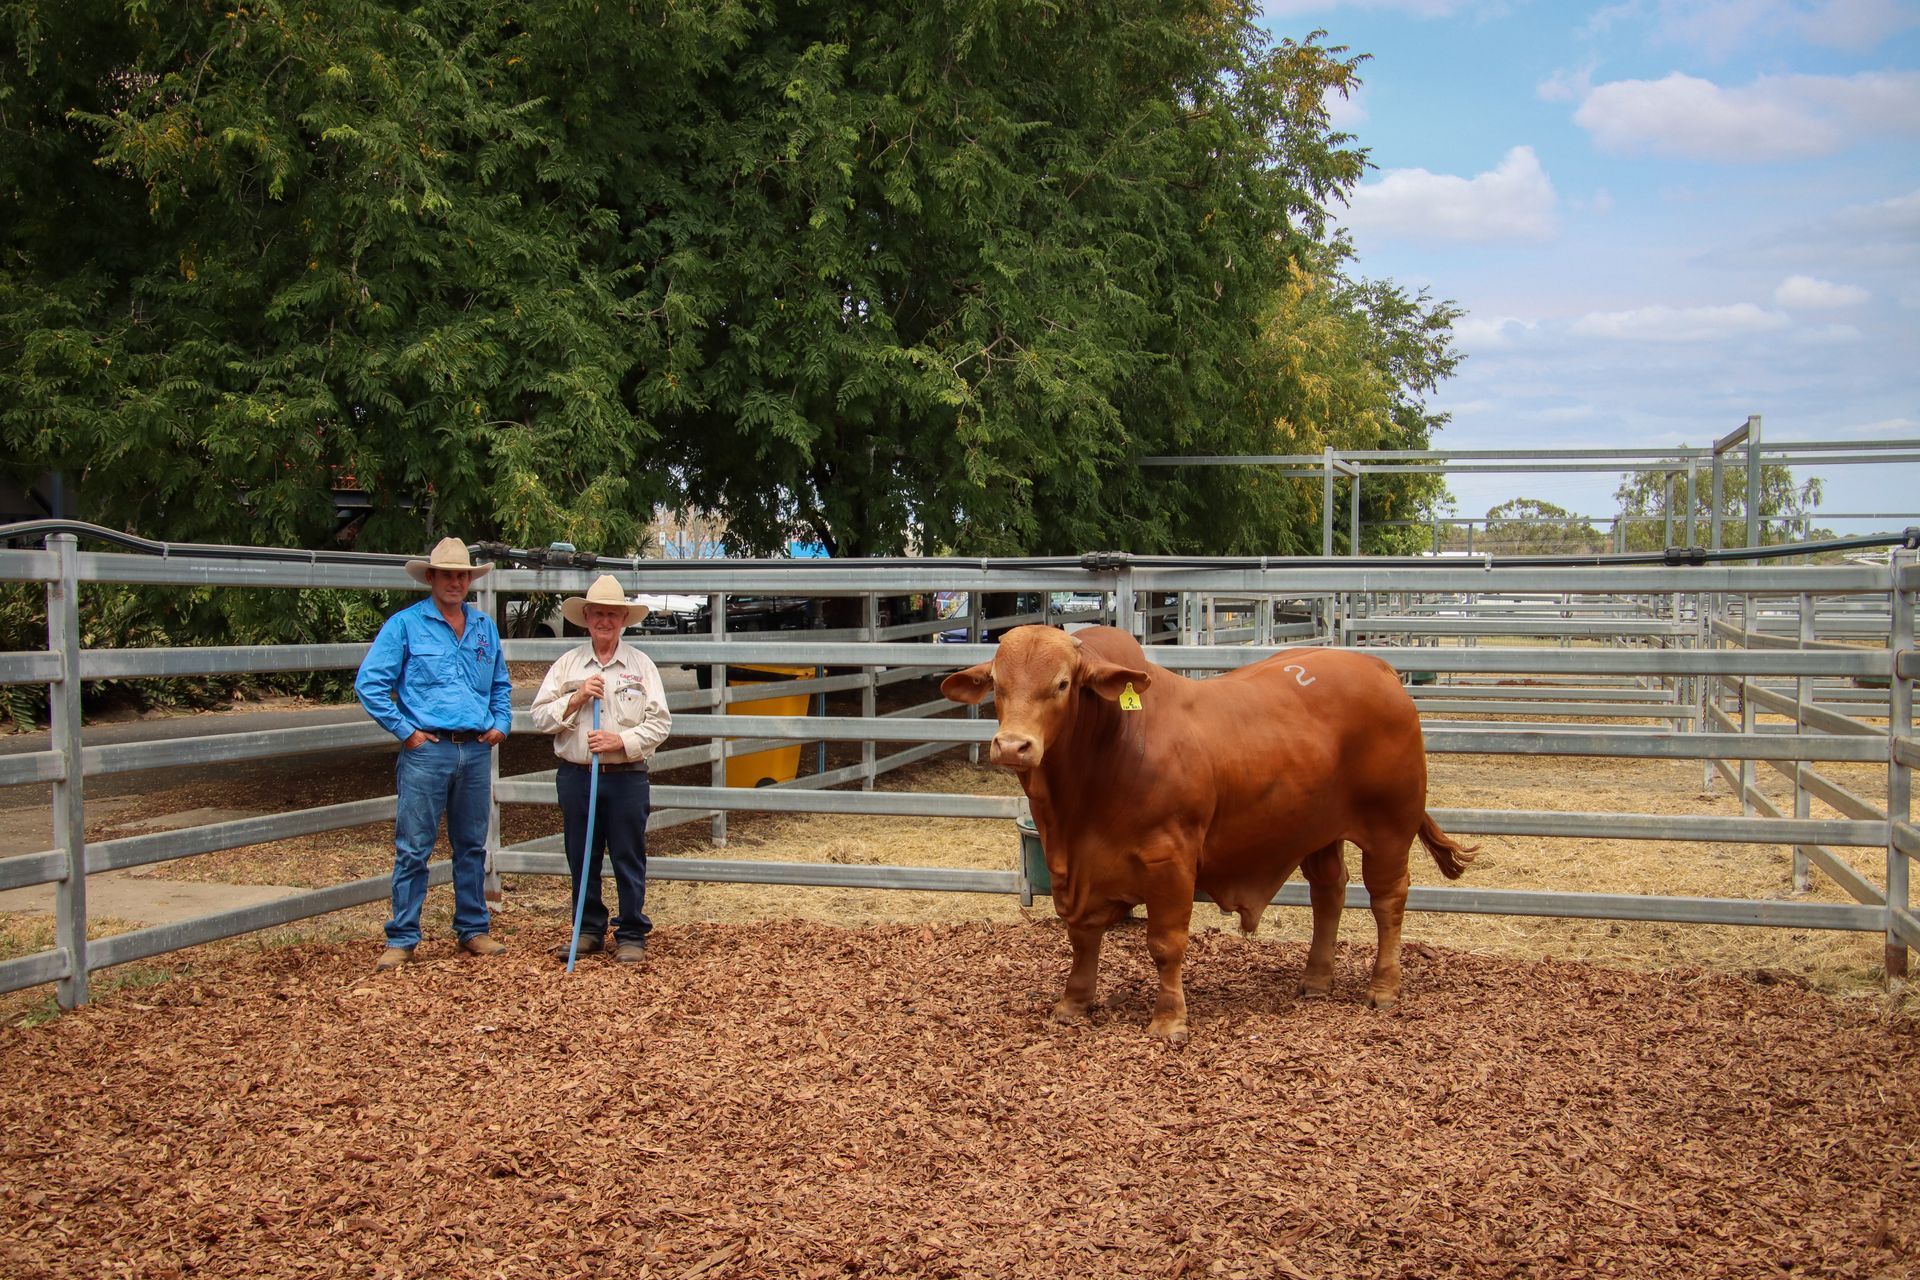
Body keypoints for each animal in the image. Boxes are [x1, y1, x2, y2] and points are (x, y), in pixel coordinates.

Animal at [942, 624, 1474, 1043]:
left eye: (1063, 683)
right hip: (1318, 830)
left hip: (1390, 826)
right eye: (997, 684)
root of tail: (1378, 668)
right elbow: (1082, 935)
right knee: (1329, 893)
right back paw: (1316, 980)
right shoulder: (1074, 866)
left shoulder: (1170, 860)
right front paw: (1074, 1002)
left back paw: (1383, 988)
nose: (1013, 745)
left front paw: (1169, 1021)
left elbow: (1165, 943)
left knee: (1388, 900)